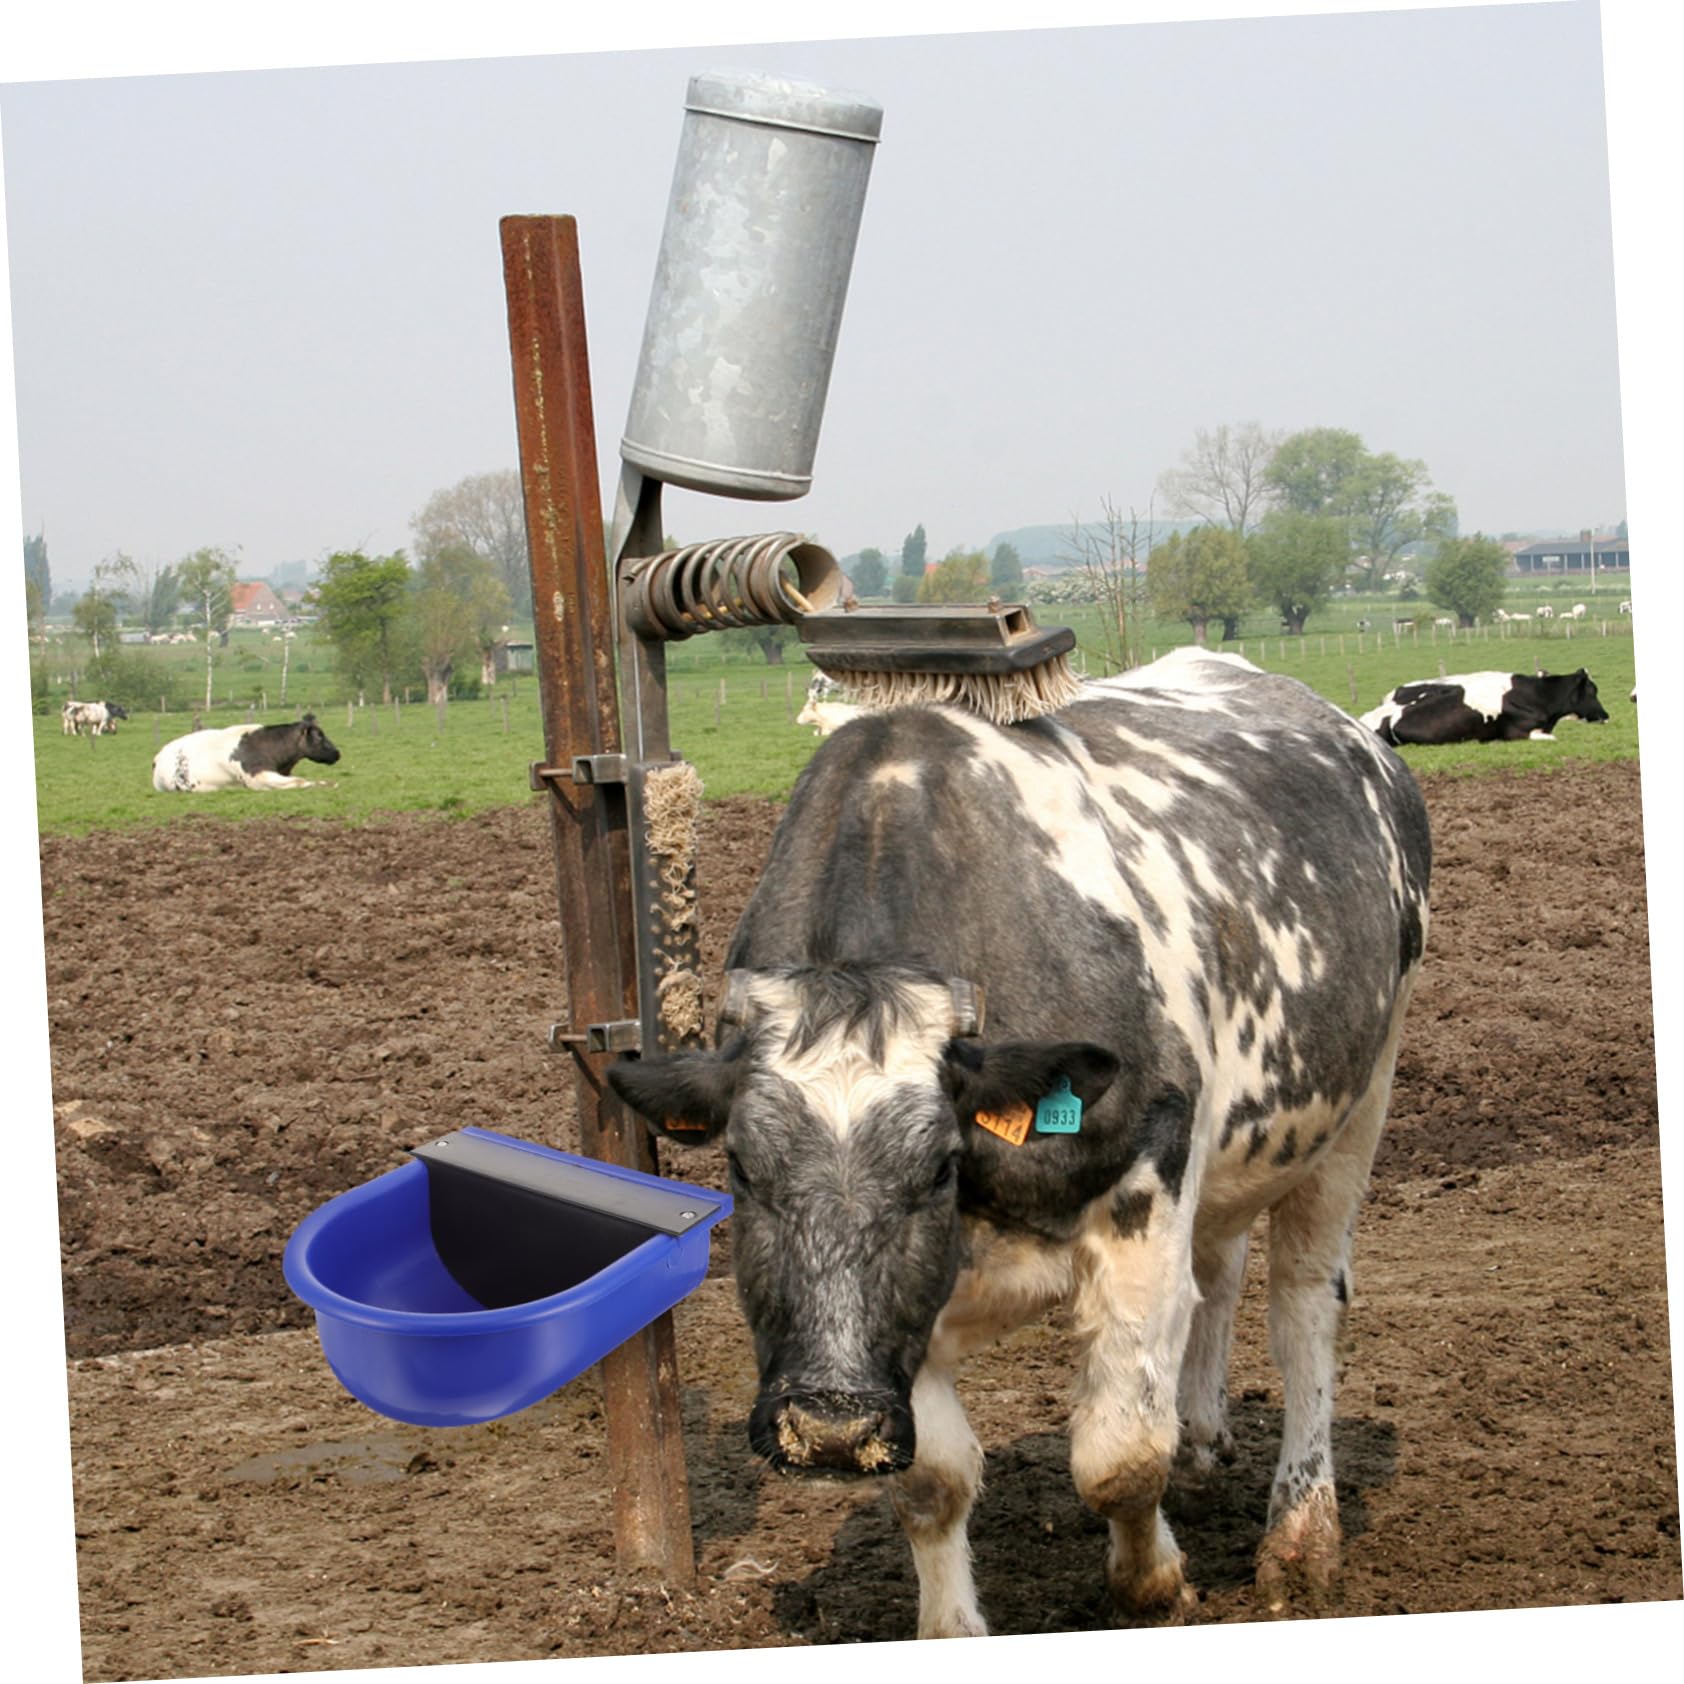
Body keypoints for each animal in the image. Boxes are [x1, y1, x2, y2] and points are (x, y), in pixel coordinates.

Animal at [151, 714, 341, 791]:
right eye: (319, 737)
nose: (337, 753)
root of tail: (159, 755)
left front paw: (328, 783)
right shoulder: (256, 777)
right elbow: (299, 781)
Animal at [607, 648, 1431, 1636]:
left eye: (936, 1169)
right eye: (738, 1166)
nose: (831, 1428)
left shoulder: (1147, 1187)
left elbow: (1120, 1457)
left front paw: (1154, 1583)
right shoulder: (913, 1315)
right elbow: (931, 1482)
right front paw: (951, 1625)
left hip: (1362, 1095)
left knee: (1305, 1309)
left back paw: (1302, 1538)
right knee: (1219, 1272)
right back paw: (1203, 1443)